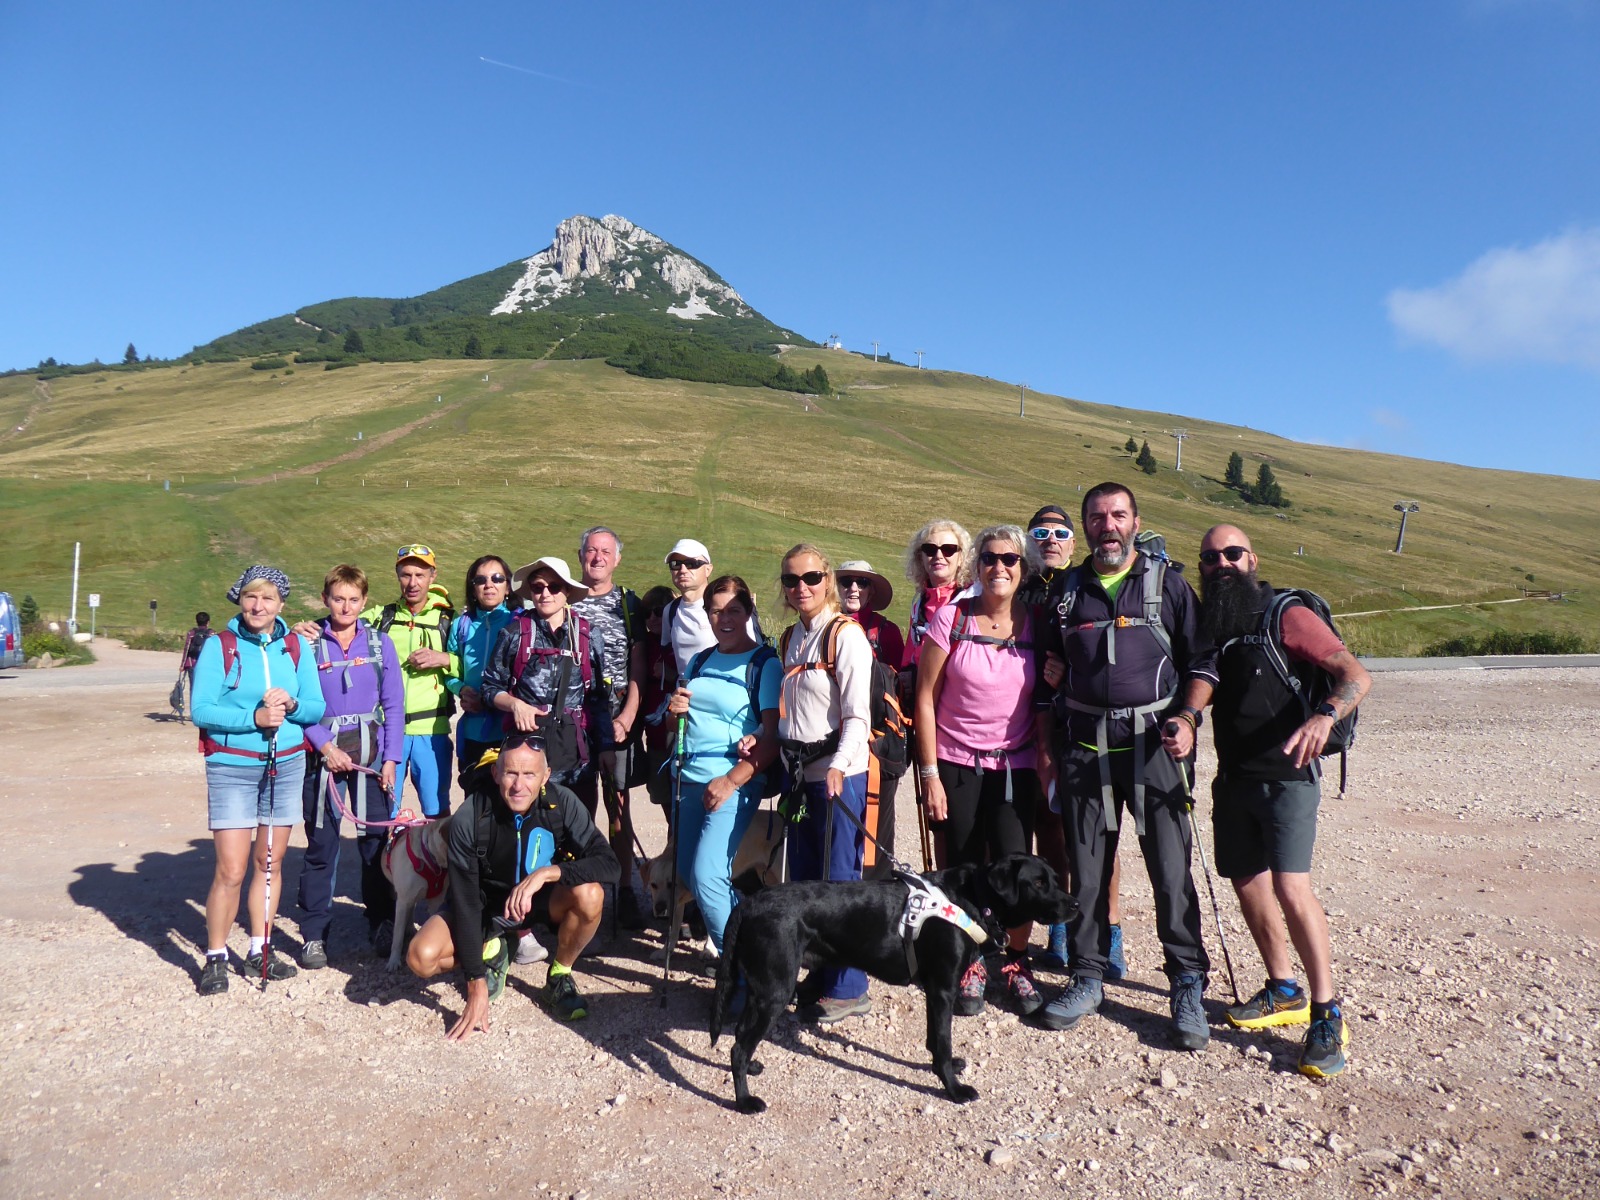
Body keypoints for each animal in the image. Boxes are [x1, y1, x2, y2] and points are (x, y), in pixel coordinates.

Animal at [640, 803, 784, 966]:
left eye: (671, 884)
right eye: (653, 885)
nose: (659, 908)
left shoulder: (712, 889)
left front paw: (709, 949)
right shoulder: (677, 904)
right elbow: (673, 931)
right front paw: (665, 952)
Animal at [710, 857, 1075, 1120]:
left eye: (1056, 879)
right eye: (1038, 883)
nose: (1074, 905)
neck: (972, 898)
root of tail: (749, 903)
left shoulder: (934, 990)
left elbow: (934, 1041)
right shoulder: (943, 989)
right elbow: (943, 1042)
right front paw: (954, 1089)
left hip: (762, 988)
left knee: (741, 1036)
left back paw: (751, 1068)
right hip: (776, 990)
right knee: (738, 1047)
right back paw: (744, 1101)